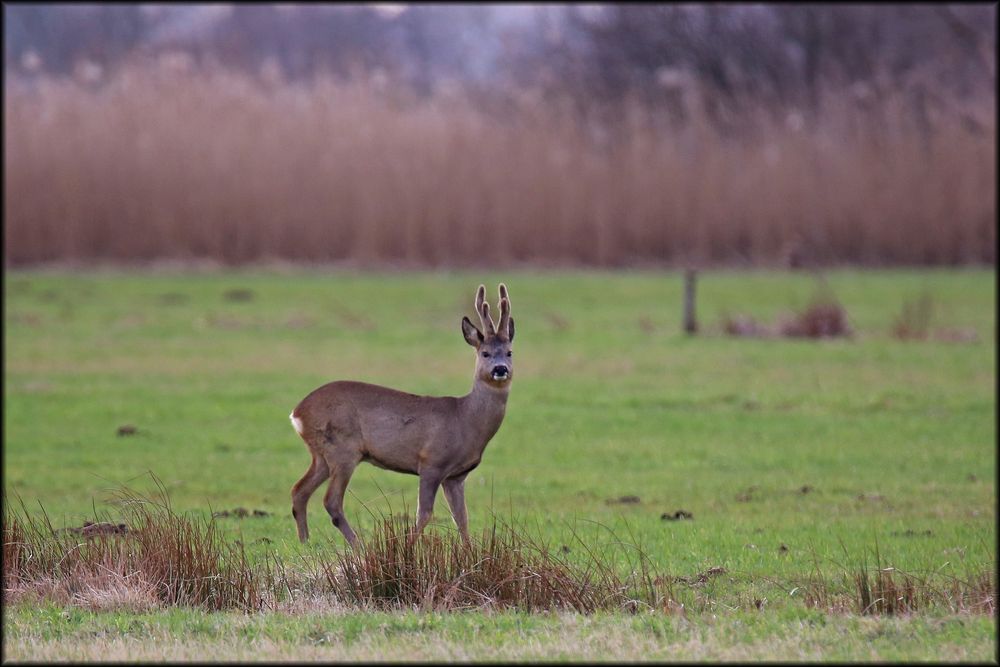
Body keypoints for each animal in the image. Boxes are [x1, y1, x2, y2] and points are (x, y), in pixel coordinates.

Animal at [286, 282, 512, 548]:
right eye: (485, 353)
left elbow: (462, 519)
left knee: (299, 491)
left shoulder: (456, 476)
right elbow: (424, 514)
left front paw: (470, 553)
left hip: (321, 455)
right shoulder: (431, 462)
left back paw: (305, 543)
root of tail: (297, 412)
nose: (500, 369)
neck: (466, 419)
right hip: (343, 449)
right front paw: (407, 548)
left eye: (509, 352)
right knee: (331, 501)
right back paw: (359, 547)